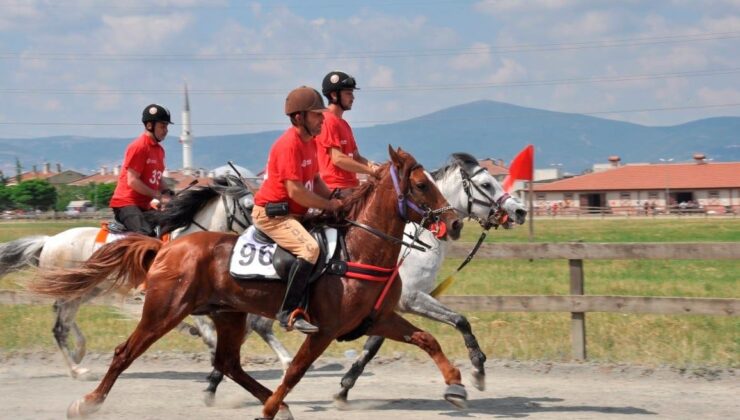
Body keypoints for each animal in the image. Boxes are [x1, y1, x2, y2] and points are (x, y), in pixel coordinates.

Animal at [0, 176, 262, 378]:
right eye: (249, 206)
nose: (263, 234)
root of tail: (48, 241)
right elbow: (205, 328)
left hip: (85, 289)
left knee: (62, 318)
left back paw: (79, 353)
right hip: (73, 291)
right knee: (58, 328)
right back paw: (77, 370)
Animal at [34, 146, 466, 418]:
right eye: (422, 185)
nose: (456, 224)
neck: (360, 250)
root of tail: (167, 249)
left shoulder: (378, 319)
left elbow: (428, 339)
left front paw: (457, 386)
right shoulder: (325, 329)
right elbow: (295, 371)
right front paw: (271, 407)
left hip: (228, 314)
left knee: (227, 362)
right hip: (164, 311)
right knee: (124, 352)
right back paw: (87, 400)